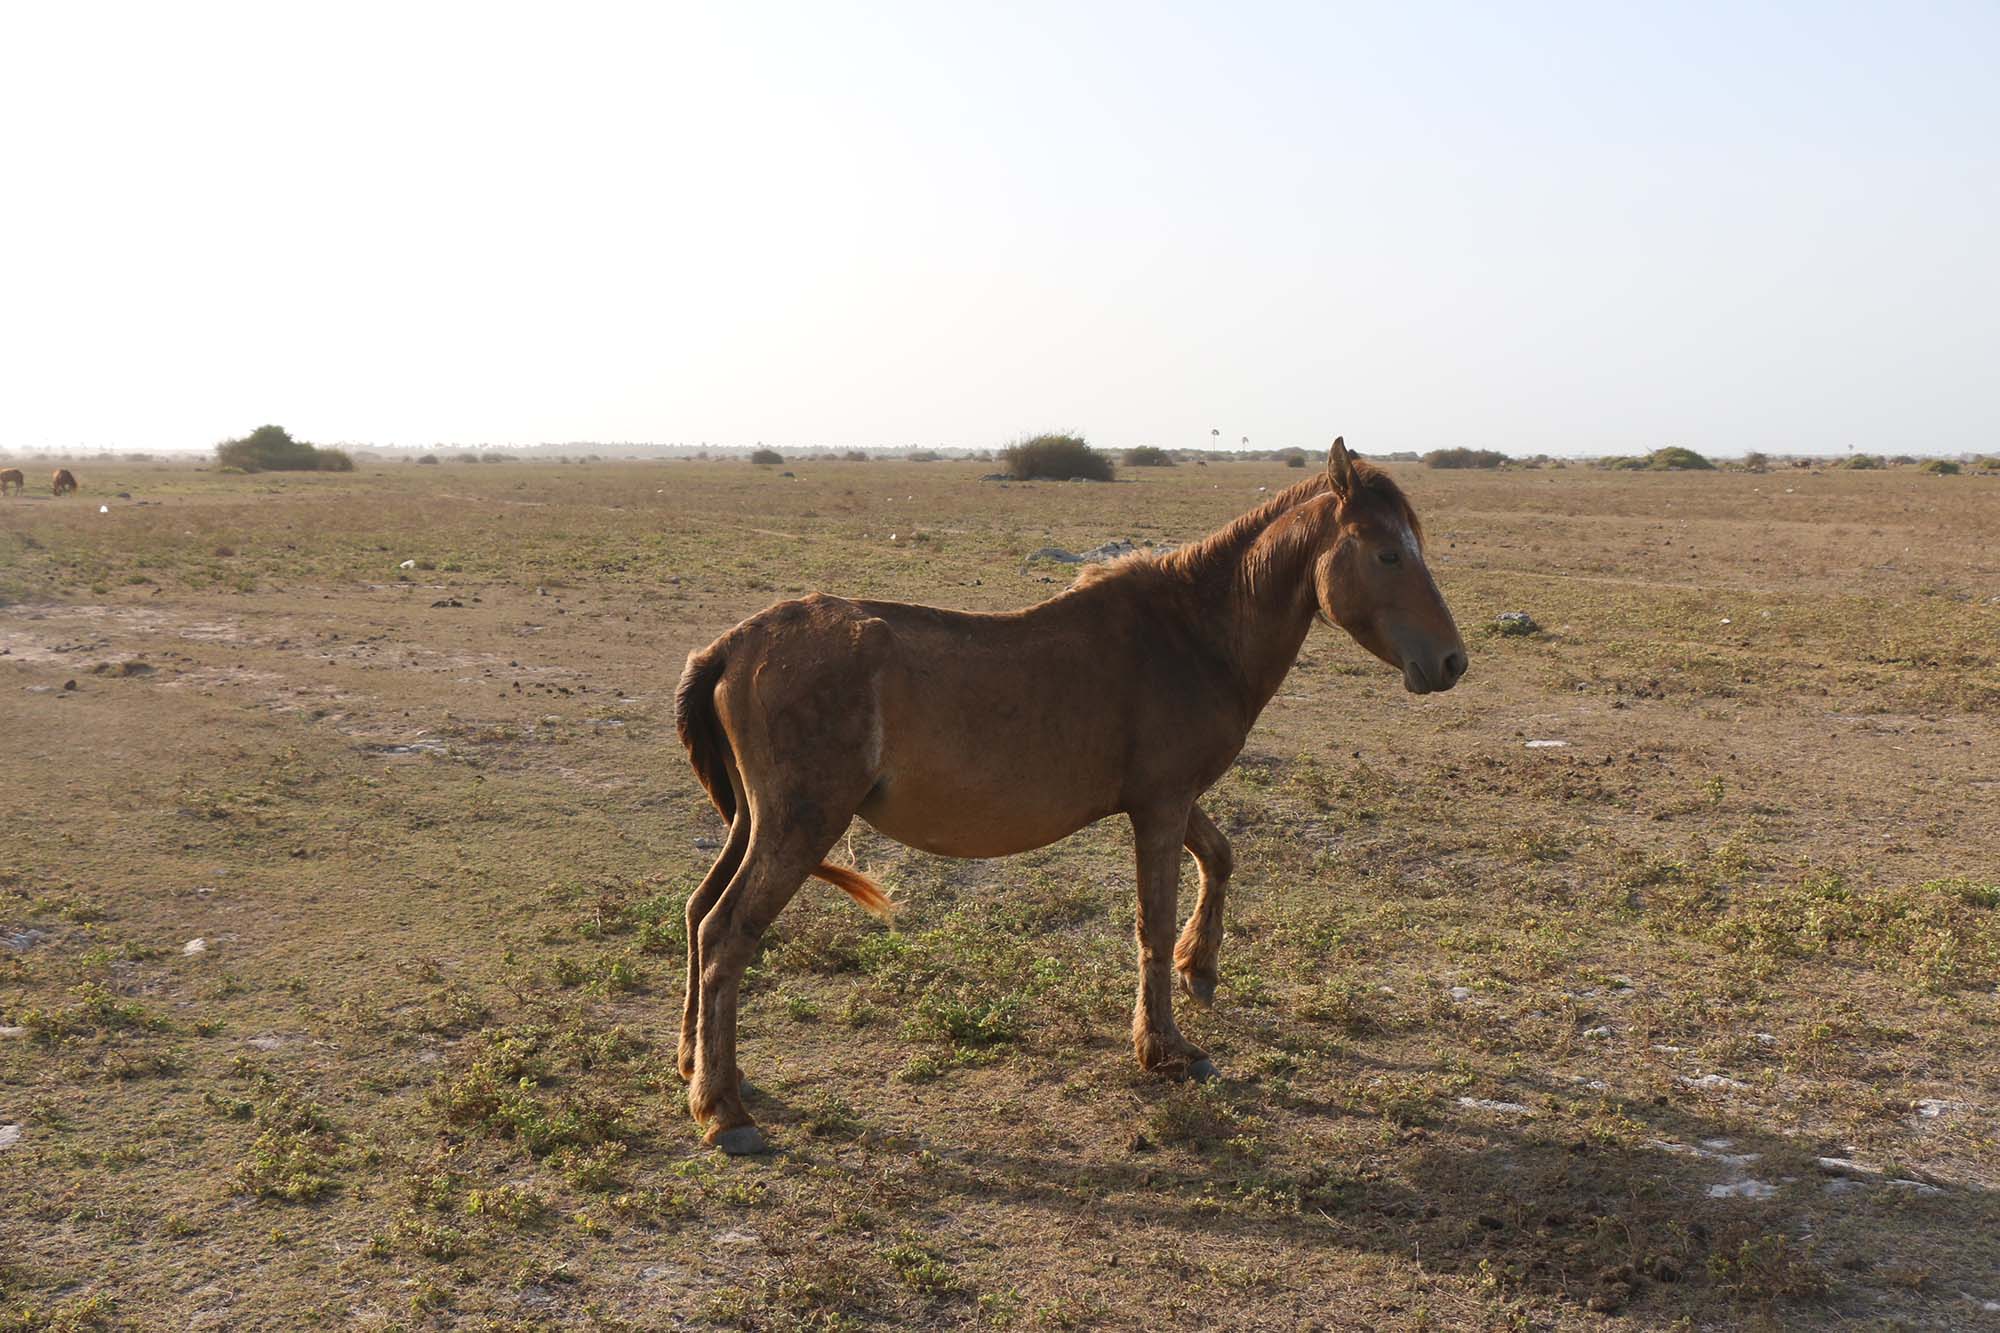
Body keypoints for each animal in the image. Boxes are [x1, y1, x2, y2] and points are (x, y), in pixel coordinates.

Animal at [673, 438, 1467, 1152]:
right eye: (1388, 555)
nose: (1452, 662)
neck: (1193, 632)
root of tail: (733, 646)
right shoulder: (1160, 805)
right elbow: (1154, 922)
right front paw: (1168, 1048)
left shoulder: (1166, 798)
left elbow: (1220, 857)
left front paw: (1201, 969)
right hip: (800, 824)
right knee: (727, 931)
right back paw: (725, 1111)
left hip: (757, 822)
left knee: (698, 911)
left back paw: (695, 1067)